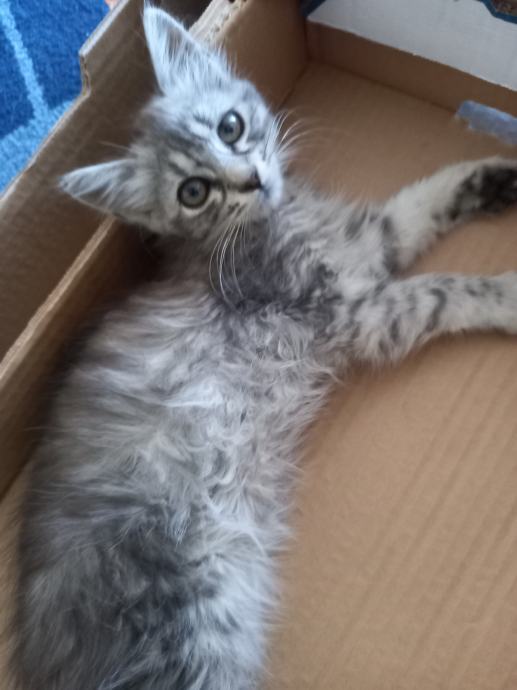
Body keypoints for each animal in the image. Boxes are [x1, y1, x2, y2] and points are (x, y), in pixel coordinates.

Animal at [12, 6, 517, 690]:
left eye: (231, 126)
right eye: (194, 192)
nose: (250, 178)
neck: (275, 221)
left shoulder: (369, 244)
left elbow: (427, 196)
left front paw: (497, 173)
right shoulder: (358, 312)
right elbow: (445, 289)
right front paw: (510, 293)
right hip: (189, 639)